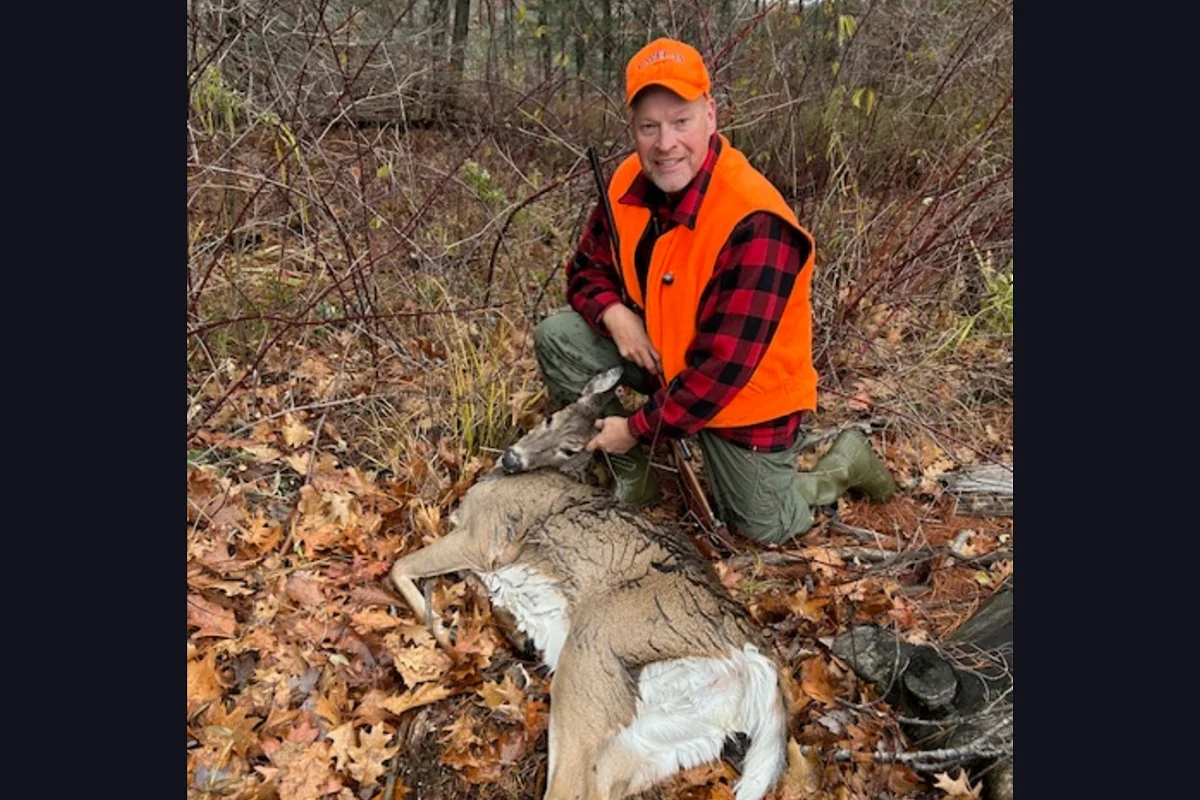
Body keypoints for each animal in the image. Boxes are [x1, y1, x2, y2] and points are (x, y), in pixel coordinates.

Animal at [388, 367, 791, 800]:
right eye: (550, 417)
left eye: (570, 449)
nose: (512, 458)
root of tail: (756, 665)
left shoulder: (485, 538)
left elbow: (399, 566)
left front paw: (443, 631)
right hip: (657, 739)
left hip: (593, 658)